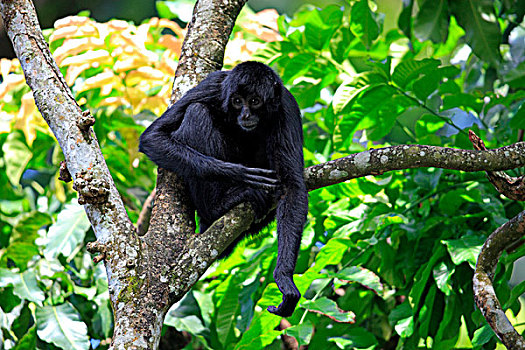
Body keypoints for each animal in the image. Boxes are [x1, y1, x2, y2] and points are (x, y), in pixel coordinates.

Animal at [139, 60, 308, 318]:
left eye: (255, 101)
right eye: (237, 101)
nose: (246, 114)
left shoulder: (286, 107)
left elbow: (292, 186)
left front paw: (284, 279)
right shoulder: (213, 86)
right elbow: (153, 137)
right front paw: (239, 174)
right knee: (197, 111)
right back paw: (225, 202)